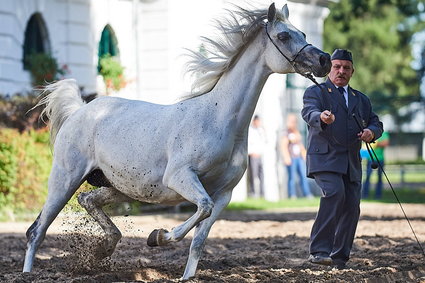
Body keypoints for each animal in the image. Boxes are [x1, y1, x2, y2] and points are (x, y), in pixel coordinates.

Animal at [24, 2, 332, 282]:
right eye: (284, 36)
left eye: (303, 33)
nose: (325, 60)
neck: (219, 119)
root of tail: (79, 111)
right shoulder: (180, 177)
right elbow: (201, 210)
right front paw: (158, 236)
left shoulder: (224, 194)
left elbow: (199, 239)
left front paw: (186, 275)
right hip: (65, 179)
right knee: (37, 230)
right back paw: (29, 272)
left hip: (119, 188)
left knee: (86, 200)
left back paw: (106, 246)